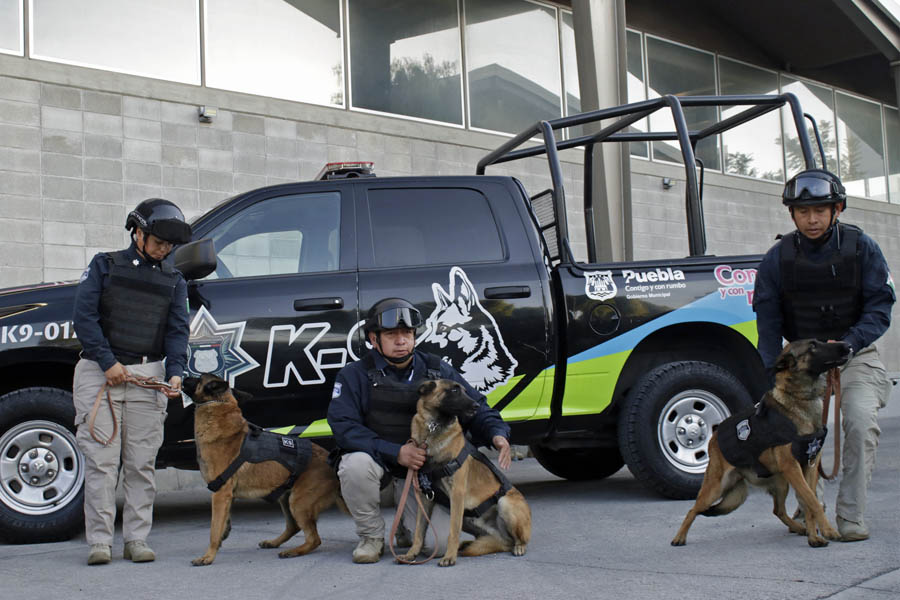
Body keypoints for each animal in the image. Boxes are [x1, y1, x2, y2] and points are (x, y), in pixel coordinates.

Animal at [183, 372, 344, 564]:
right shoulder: (227, 496)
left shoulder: (220, 493)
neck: (219, 406)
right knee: (294, 527)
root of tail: (334, 467)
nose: (182, 377)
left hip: (298, 502)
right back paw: (274, 543)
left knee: (314, 539)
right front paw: (222, 537)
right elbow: (223, 523)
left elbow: (214, 530)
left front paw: (208, 556)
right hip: (286, 497)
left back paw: (294, 551)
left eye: (198, 378)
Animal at [398, 380, 532, 568]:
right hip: (470, 522)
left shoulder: (457, 494)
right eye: (454, 390)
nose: (476, 405)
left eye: (463, 389)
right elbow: (419, 530)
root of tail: (503, 540)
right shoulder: (424, 497)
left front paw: (449, 556)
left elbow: (452, 531)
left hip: (505, 503)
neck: (433, 428)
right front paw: (411, 554)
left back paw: (519, 546)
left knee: (519, 539)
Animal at [672, 340, 856, 548]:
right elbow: (812, 501)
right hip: (715, 488)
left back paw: (798, 528)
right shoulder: (792, 467)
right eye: (813, 346)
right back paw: (679, 537)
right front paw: (828, 530)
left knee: (778, 510)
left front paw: (814, 537)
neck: (800, 398)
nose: (847, 345)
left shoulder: (808, 468)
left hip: (782, 481)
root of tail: (713, 439)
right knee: (693, 509)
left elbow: (809, 501)